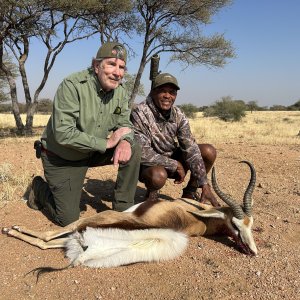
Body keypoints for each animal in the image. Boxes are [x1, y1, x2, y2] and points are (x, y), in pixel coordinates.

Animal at [1, 162, 256, 270]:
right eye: (238, 225)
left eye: (250, 225)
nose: (253, 251)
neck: (196, 219)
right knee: (48, 241)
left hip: (84, 222)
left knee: (46, 238)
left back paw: (10, 228)